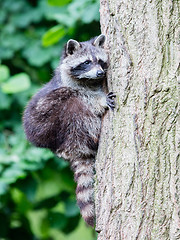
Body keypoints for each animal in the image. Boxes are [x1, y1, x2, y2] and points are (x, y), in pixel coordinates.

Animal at [22, 34, 115, 227]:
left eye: (101, 62)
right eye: (86, 62)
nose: (100, 73)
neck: (89, 81)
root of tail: (71, 149)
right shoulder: (68, 85)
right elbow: (83, 96)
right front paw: (100, 100)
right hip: (57, 127)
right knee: (72, 104)